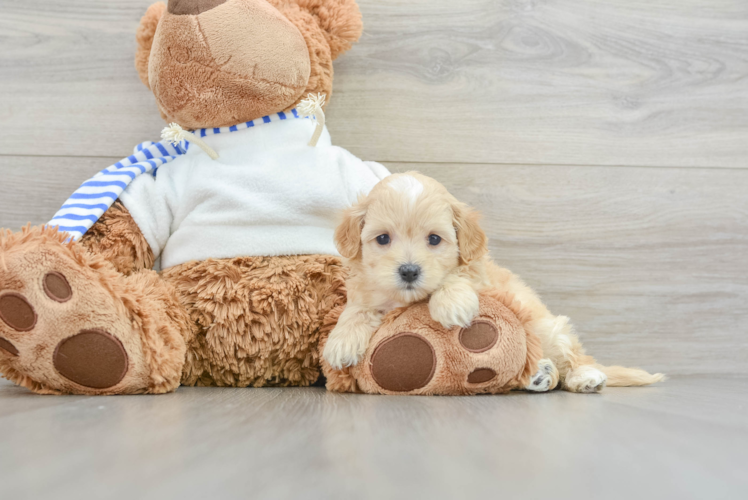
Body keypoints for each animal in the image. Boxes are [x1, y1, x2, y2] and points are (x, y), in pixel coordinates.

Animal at [324, 174, 664, 392]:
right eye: (382, 239)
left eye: (434, 239)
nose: (409, 271)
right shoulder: (367, 288)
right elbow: (357, 308)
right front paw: (342, 340)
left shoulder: (482, 277)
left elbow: (458, 277)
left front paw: (451, 304)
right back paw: (539, 375)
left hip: (549, 328)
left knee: (574, 358)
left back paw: (585, 376)